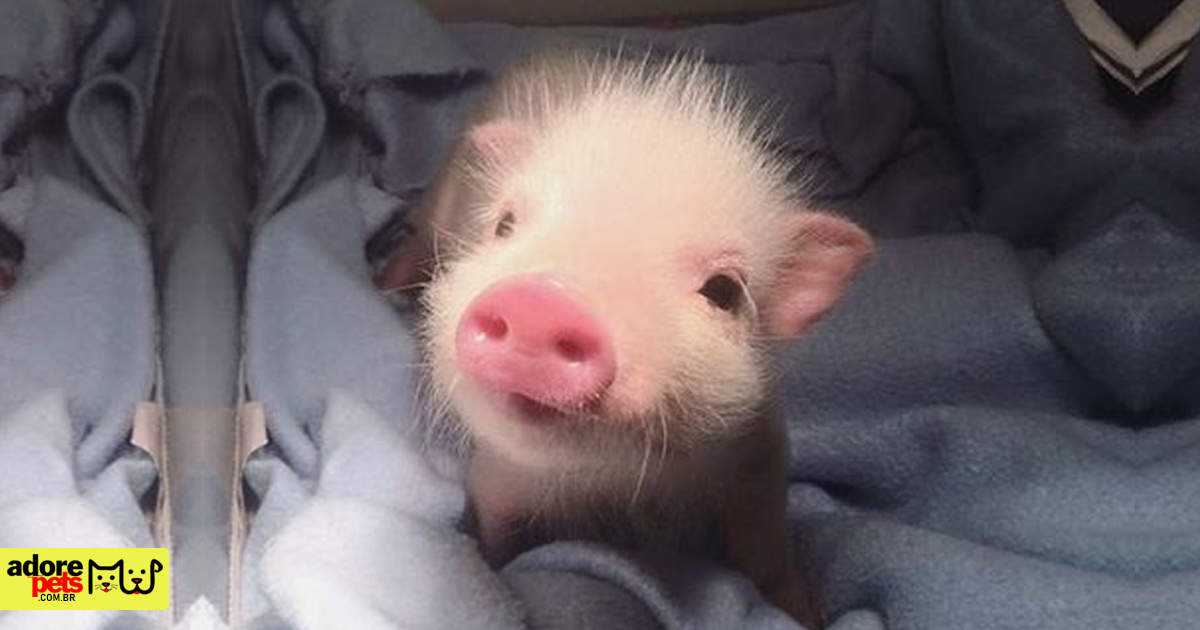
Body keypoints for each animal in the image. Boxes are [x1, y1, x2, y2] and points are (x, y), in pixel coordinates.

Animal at [374, 51, 873, 626]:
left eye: (723, 290)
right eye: (504, 225)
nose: (541, 300)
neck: (612, 482)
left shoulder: (759, 454)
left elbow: (766, 548)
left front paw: (803, 613)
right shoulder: (496, 479)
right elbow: (497, 543)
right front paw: (495, 580)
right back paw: (384, 282)